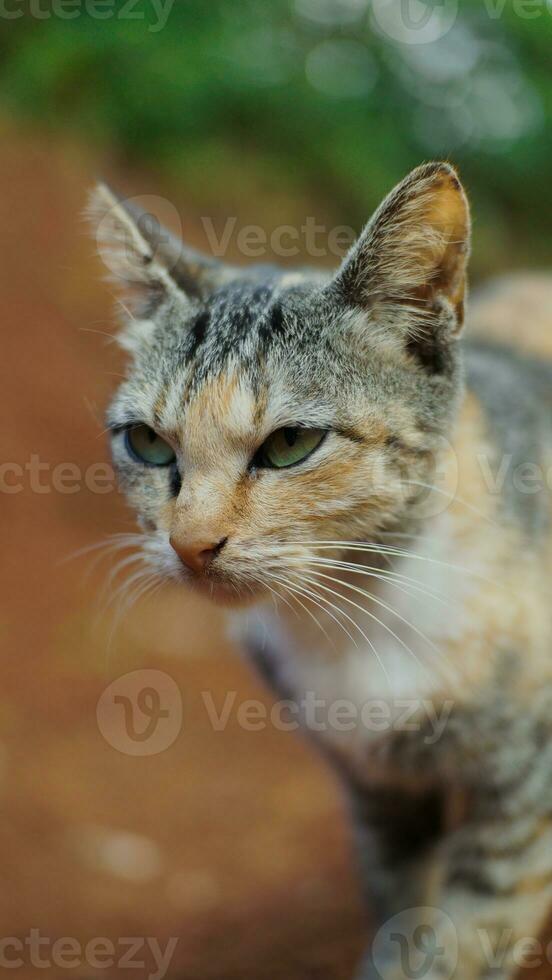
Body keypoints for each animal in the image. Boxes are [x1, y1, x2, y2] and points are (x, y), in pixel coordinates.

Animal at [89, 163, 552, 980]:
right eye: (146, 442)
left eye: (290, 444)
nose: (190, 542)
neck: (362, 609)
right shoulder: (376, 795)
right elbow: (401, 906)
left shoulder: (521, 803)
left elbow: (466, 941)